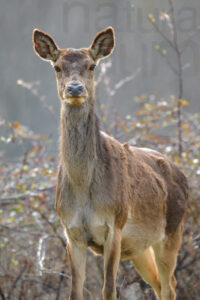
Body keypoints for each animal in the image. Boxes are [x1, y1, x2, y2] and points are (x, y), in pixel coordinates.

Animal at [32, 26, 188, 300]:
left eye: (92, 65)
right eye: (57, 67)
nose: (75, 89)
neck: (83, 188)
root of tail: (186, 179)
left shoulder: (114, 225)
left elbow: (109, 288)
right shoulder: (71, 232)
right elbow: (75, 290)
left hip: (172, 231)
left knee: (170, 285)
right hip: (139, 248)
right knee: (160, 284)